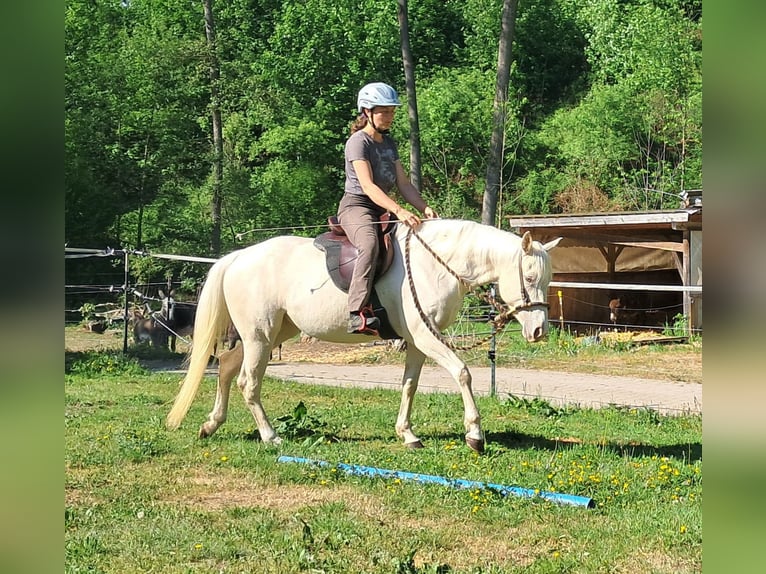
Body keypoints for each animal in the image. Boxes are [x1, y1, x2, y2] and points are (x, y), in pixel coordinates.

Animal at [166, 218, 561, 452]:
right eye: (529, 278)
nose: (539, 330)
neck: (435, 264)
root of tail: (237, 257)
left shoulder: (417, 342)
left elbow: (409, 385)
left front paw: (407, 434)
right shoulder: (428, 337)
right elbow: (462, 373)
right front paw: (475, 435)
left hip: (270, 334)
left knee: (226, 368)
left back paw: (211, 424)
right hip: (260, 336)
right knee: (247, 381)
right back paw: (270, 435)